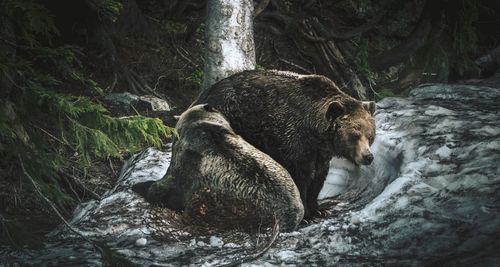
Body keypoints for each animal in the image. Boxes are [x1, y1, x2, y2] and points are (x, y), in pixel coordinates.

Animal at [193, 69, 376, 218]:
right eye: (354, 135)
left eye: (370, 135)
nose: (368, 156)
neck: (315, 132)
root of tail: (203, 95)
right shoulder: (293, 139)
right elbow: (300, 176)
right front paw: (306, 215)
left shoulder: (320, 153)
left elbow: (318, 177)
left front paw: (318, 210)